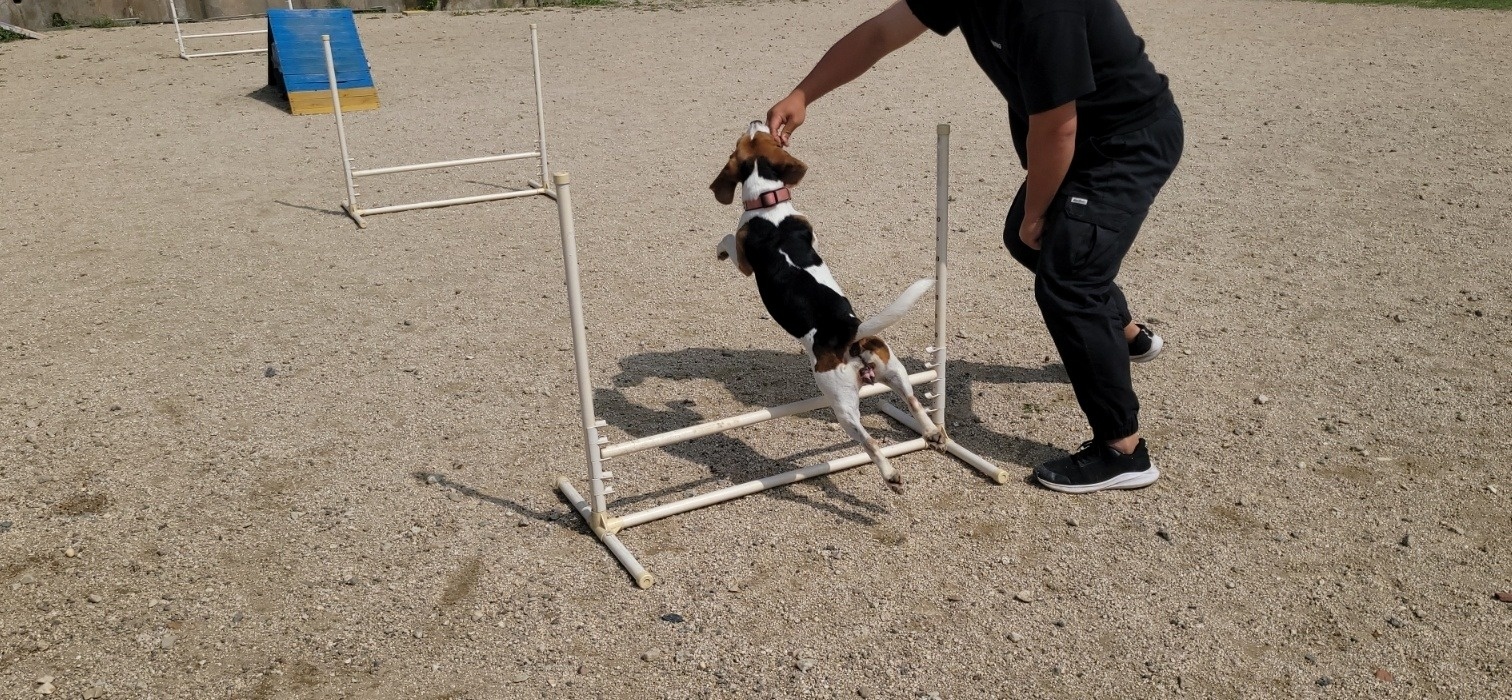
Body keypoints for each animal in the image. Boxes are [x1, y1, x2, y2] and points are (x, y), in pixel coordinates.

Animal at [710, 121, 943, 492]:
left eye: (749, 138)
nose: (756, 121)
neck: (769, 204)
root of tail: (848, 334)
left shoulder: (744, 259)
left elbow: (729, 240)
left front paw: (719, 249)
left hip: (842, 404)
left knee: (869, 442)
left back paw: (890, 474)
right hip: (896, 371)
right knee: (913, 401)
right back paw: (933, 432)